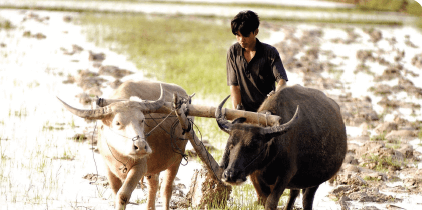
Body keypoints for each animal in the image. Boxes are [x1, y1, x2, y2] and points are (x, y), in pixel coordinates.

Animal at [58, 79, 190, 209]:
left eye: (142, 120)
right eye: (117, 123)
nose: (141, 147)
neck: (120, 153)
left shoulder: (140, 166)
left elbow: (122, 195)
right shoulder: (108, 167)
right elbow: (115, 192)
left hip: (177, 159)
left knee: (166, 189)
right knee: (153, 185)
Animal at [216, 84, 348, 210]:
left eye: (254, 145)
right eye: (231, 144)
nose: (231, 175)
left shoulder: (285, 176)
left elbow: (271, 202)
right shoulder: (257, 177)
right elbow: (264, 200)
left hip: (315, 180)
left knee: (307, 200)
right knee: (294, 194)